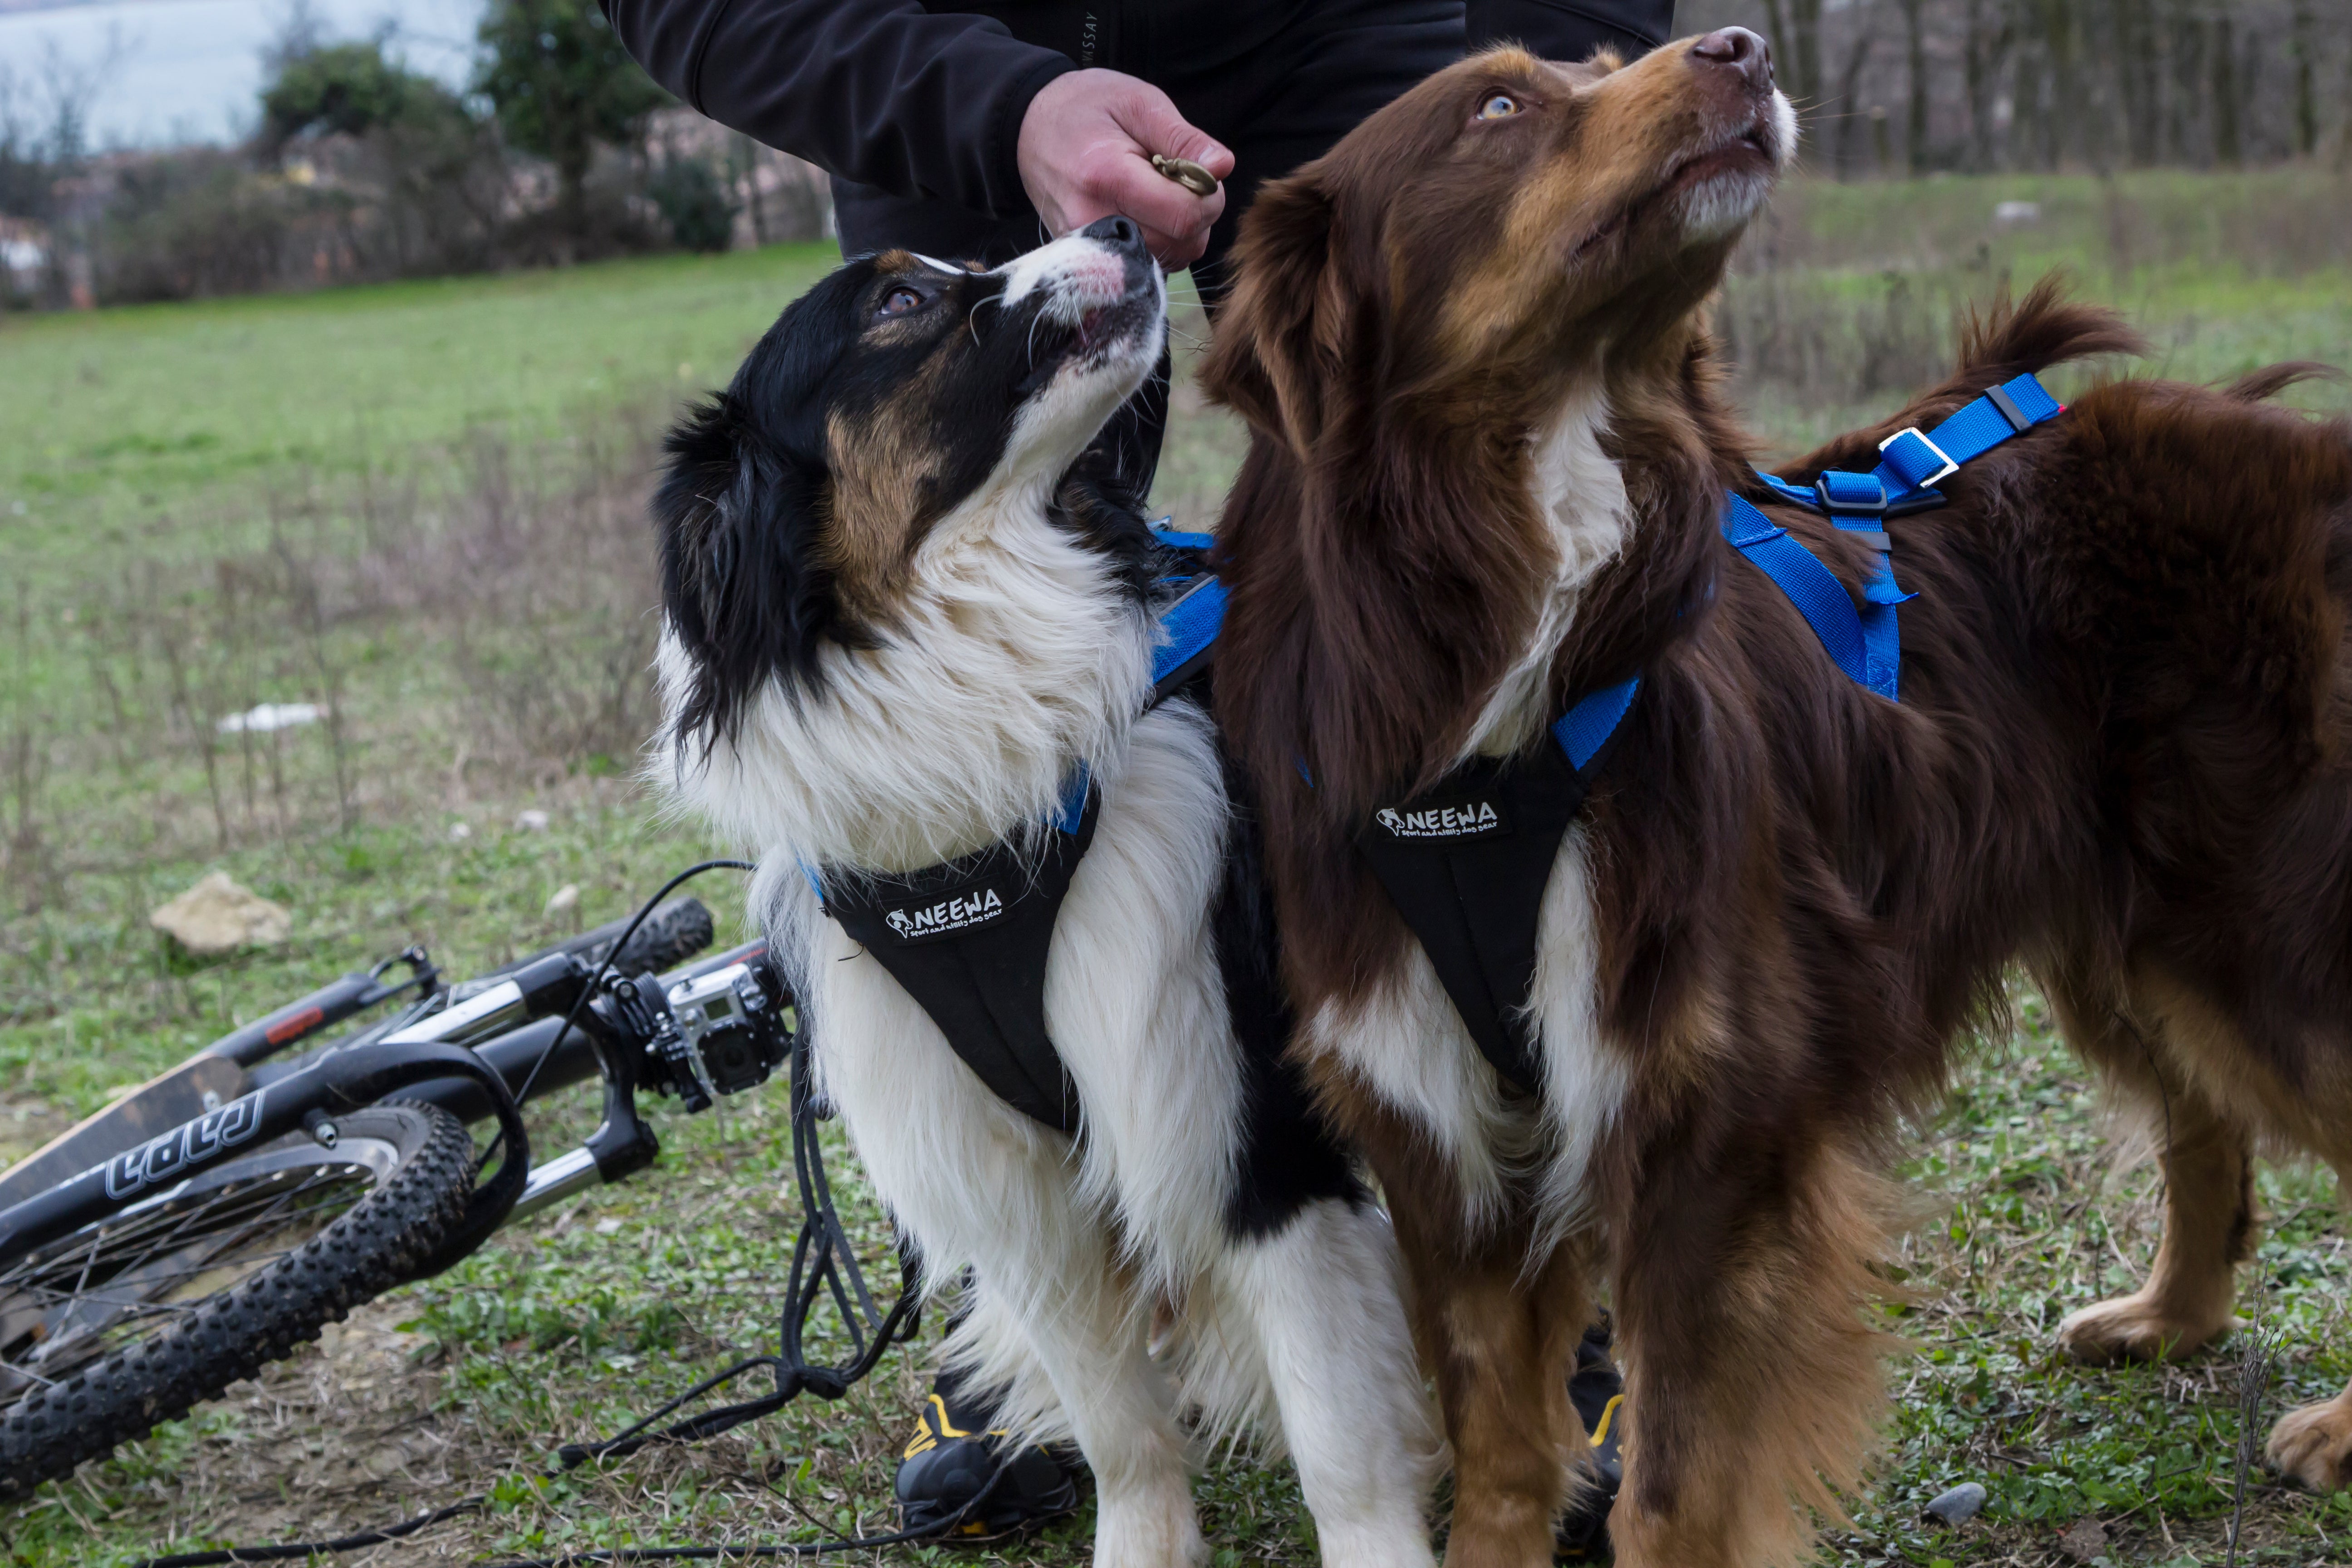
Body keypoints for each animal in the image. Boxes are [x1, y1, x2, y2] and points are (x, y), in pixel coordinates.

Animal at [1204, 24, 2352, 1568]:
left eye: (1603, 58)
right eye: (1497, 105)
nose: (1742, 44)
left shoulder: (1711, 1122)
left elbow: (1675, 1482)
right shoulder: (1439, 1128)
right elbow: (1501, 1448)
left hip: (2261, 933)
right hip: (2134, 929)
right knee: (2202, 1115)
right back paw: (2174, 1319)